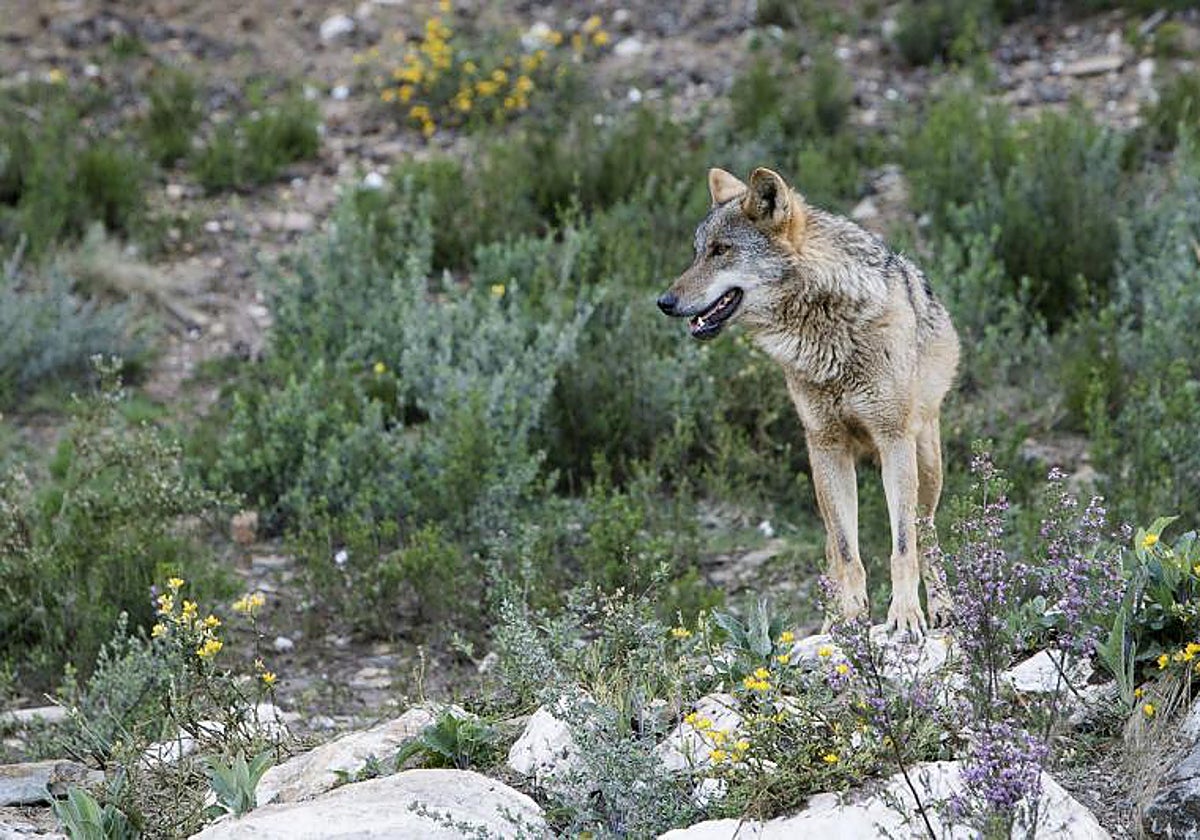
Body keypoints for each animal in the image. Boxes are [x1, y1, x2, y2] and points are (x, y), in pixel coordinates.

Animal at [657, 167, 960, 635]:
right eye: (696, 253)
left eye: (721, 250)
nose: (664, 302)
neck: (828, 330)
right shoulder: (825, 445)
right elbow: (847, 552)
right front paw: (848, 621)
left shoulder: (893, 440)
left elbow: (902, 547)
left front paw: (906, 615)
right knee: (833, 549)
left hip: (925, 463)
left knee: (926, 535)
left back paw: (943, 609)